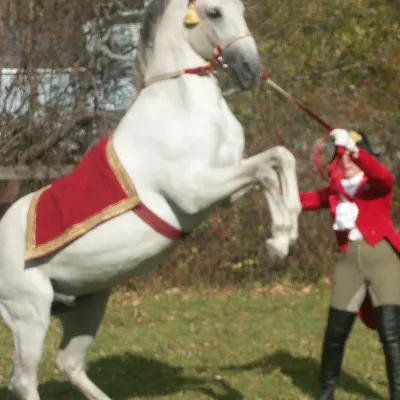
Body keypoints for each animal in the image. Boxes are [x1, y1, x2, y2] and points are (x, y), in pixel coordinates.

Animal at [0, 0, 300, 400]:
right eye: (215, 12)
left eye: (241, 9)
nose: (251, 69)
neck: (181, 106)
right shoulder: (195, 192)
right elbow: (267, 171)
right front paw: (277, 243)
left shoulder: (225, 191)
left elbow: (280, 158)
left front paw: (289, 230)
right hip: (29, 314)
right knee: (23, 380)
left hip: (90, 302)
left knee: (70, 363)